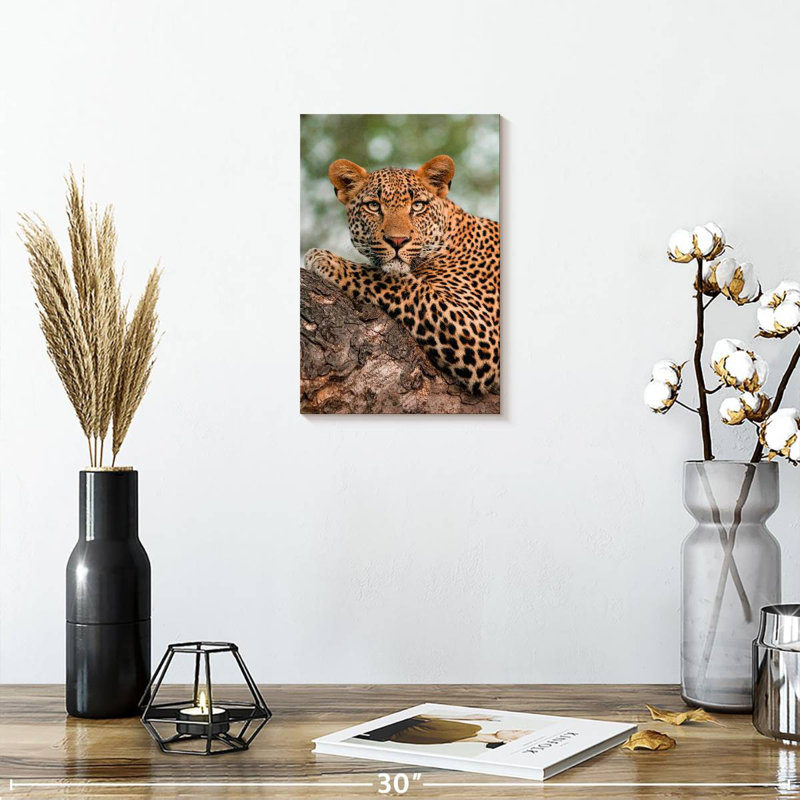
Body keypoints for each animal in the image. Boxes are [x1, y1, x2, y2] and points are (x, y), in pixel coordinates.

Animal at [304, 154, 500, 396]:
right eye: (373, 206)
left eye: (418, 206)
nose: (397, 241)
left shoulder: (481, 333)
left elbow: (399, 283)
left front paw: (327, 260)